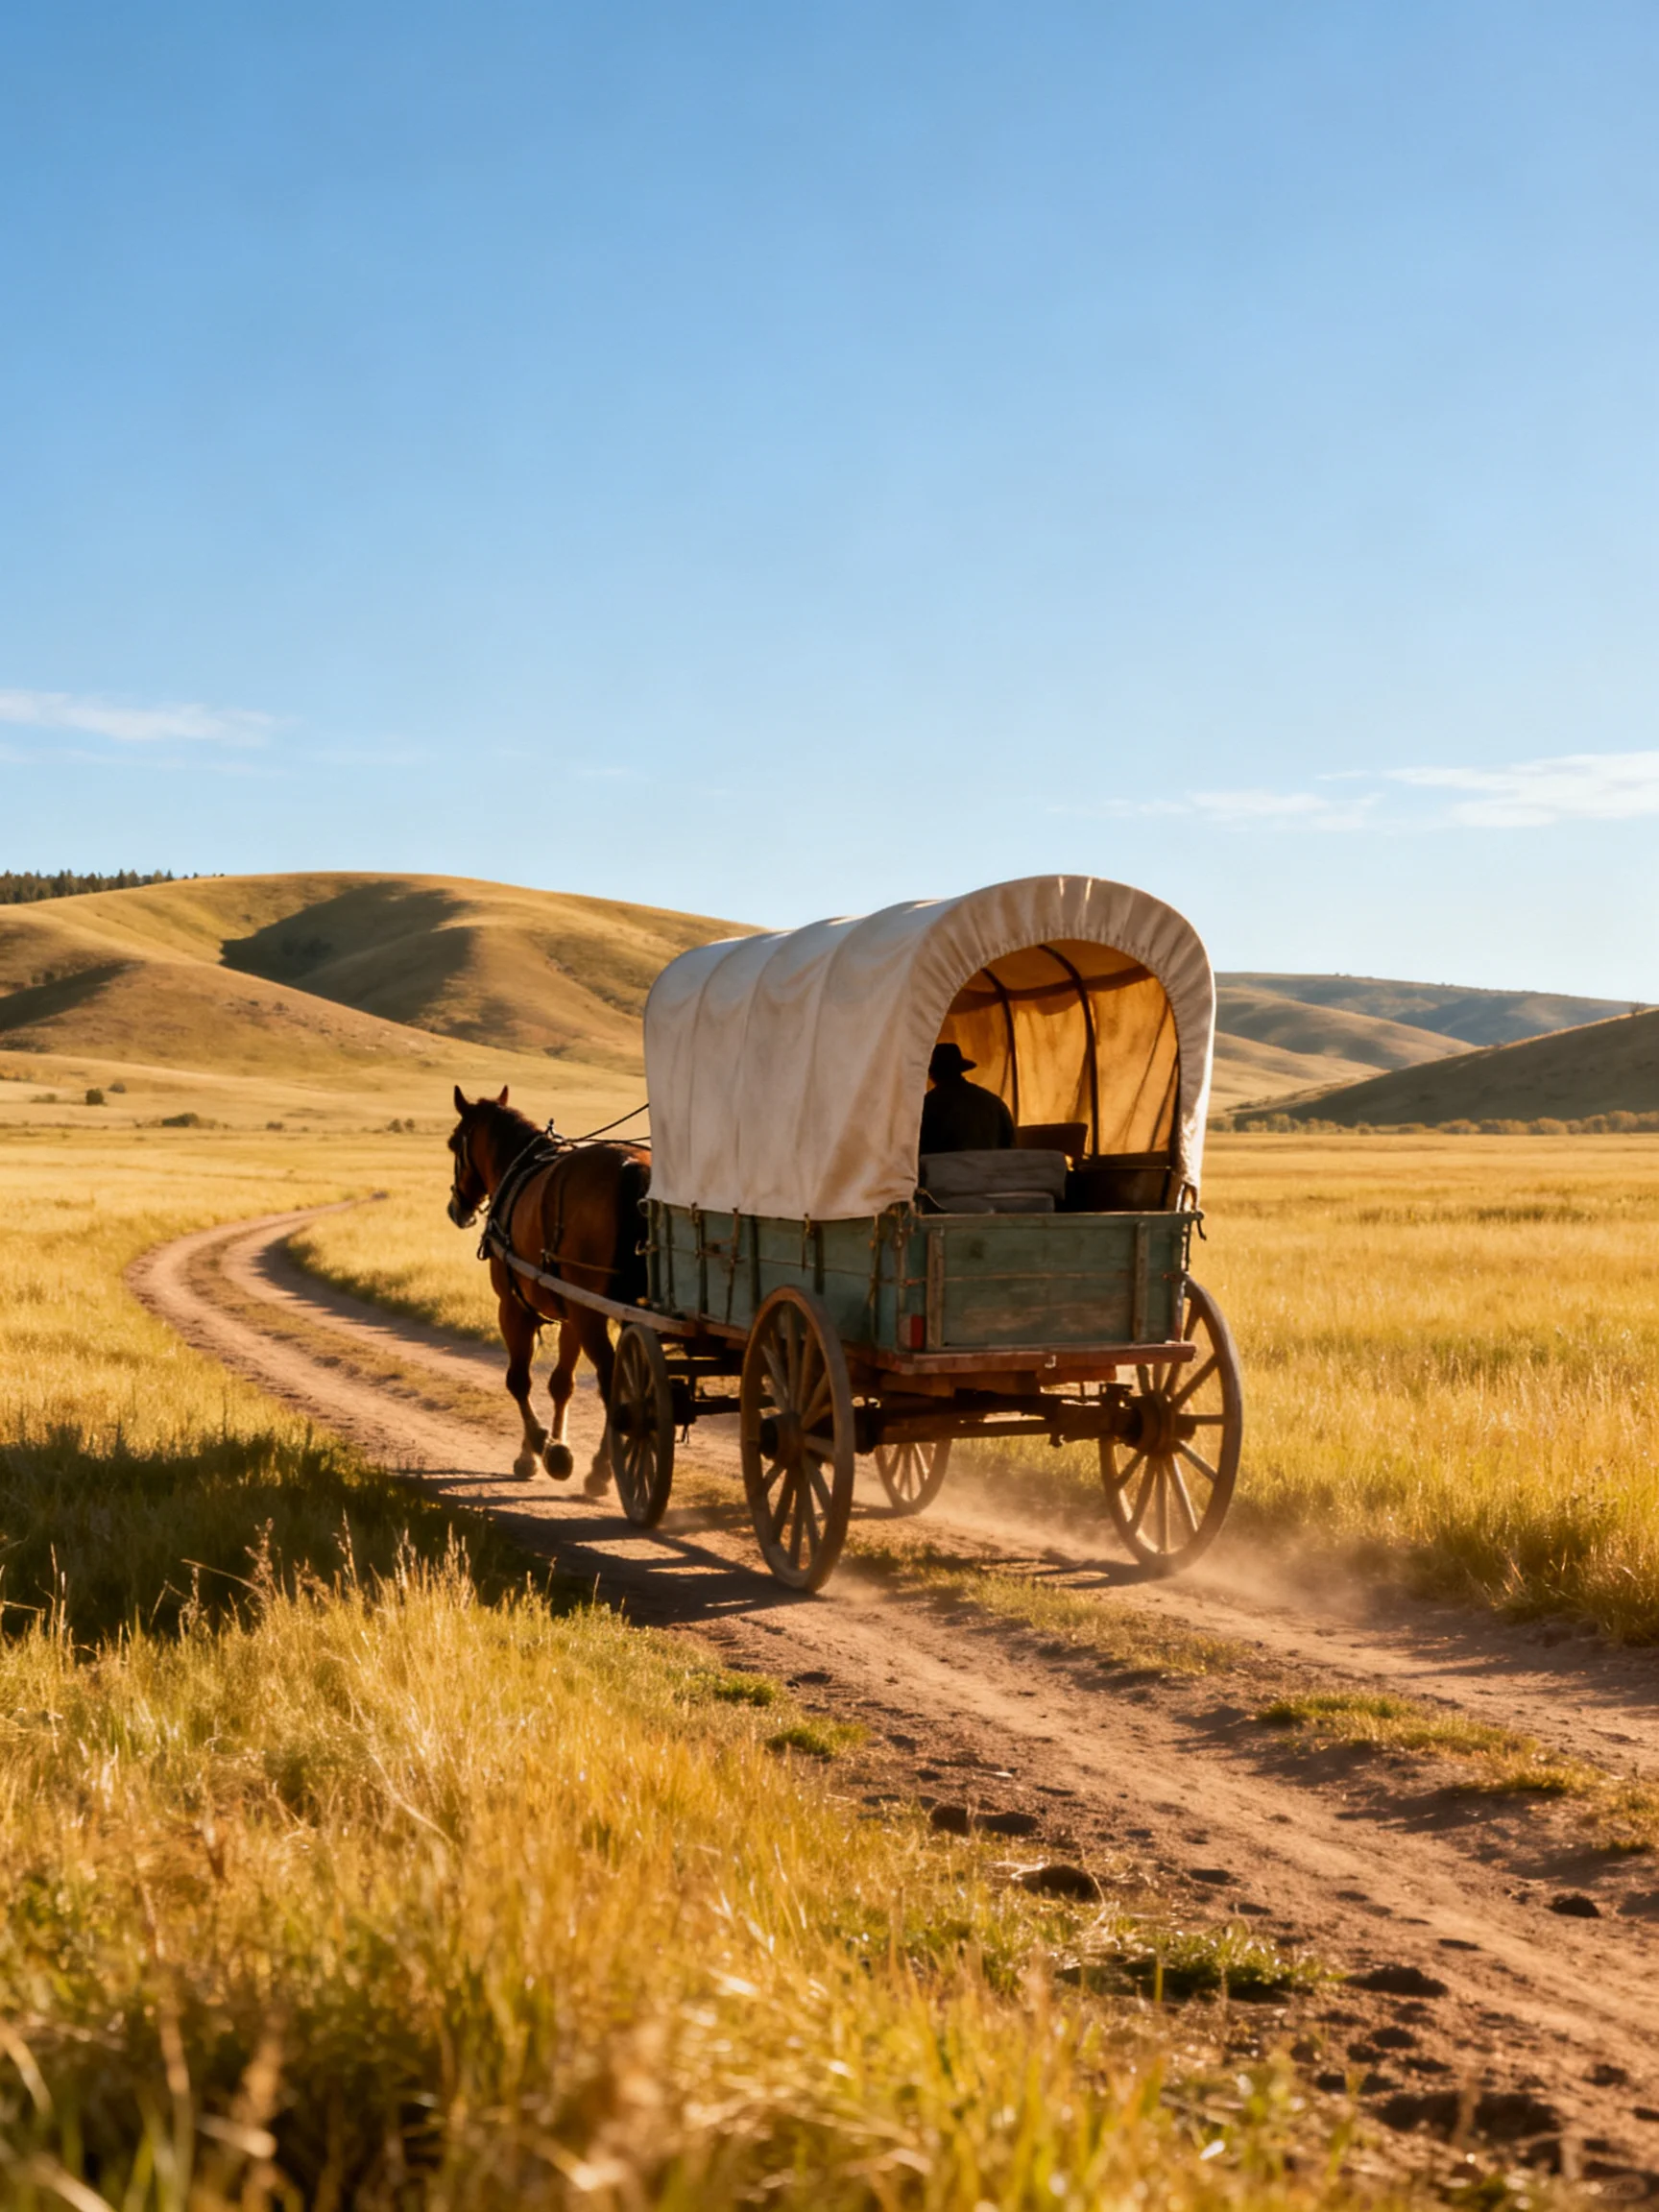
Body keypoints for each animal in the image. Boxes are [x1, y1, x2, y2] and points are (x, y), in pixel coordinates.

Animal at [445, 1086, 650, 1493]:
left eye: (453, 1144)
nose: (456, 1209)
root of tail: (633, 1166)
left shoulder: (513, 1308)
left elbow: (518, 1380)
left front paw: (542, 1448)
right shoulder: (569, 1315)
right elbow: (561, 1385)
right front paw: (548, 1446)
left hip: (591, 1313)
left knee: (612, 1382)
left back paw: (603, 1470)